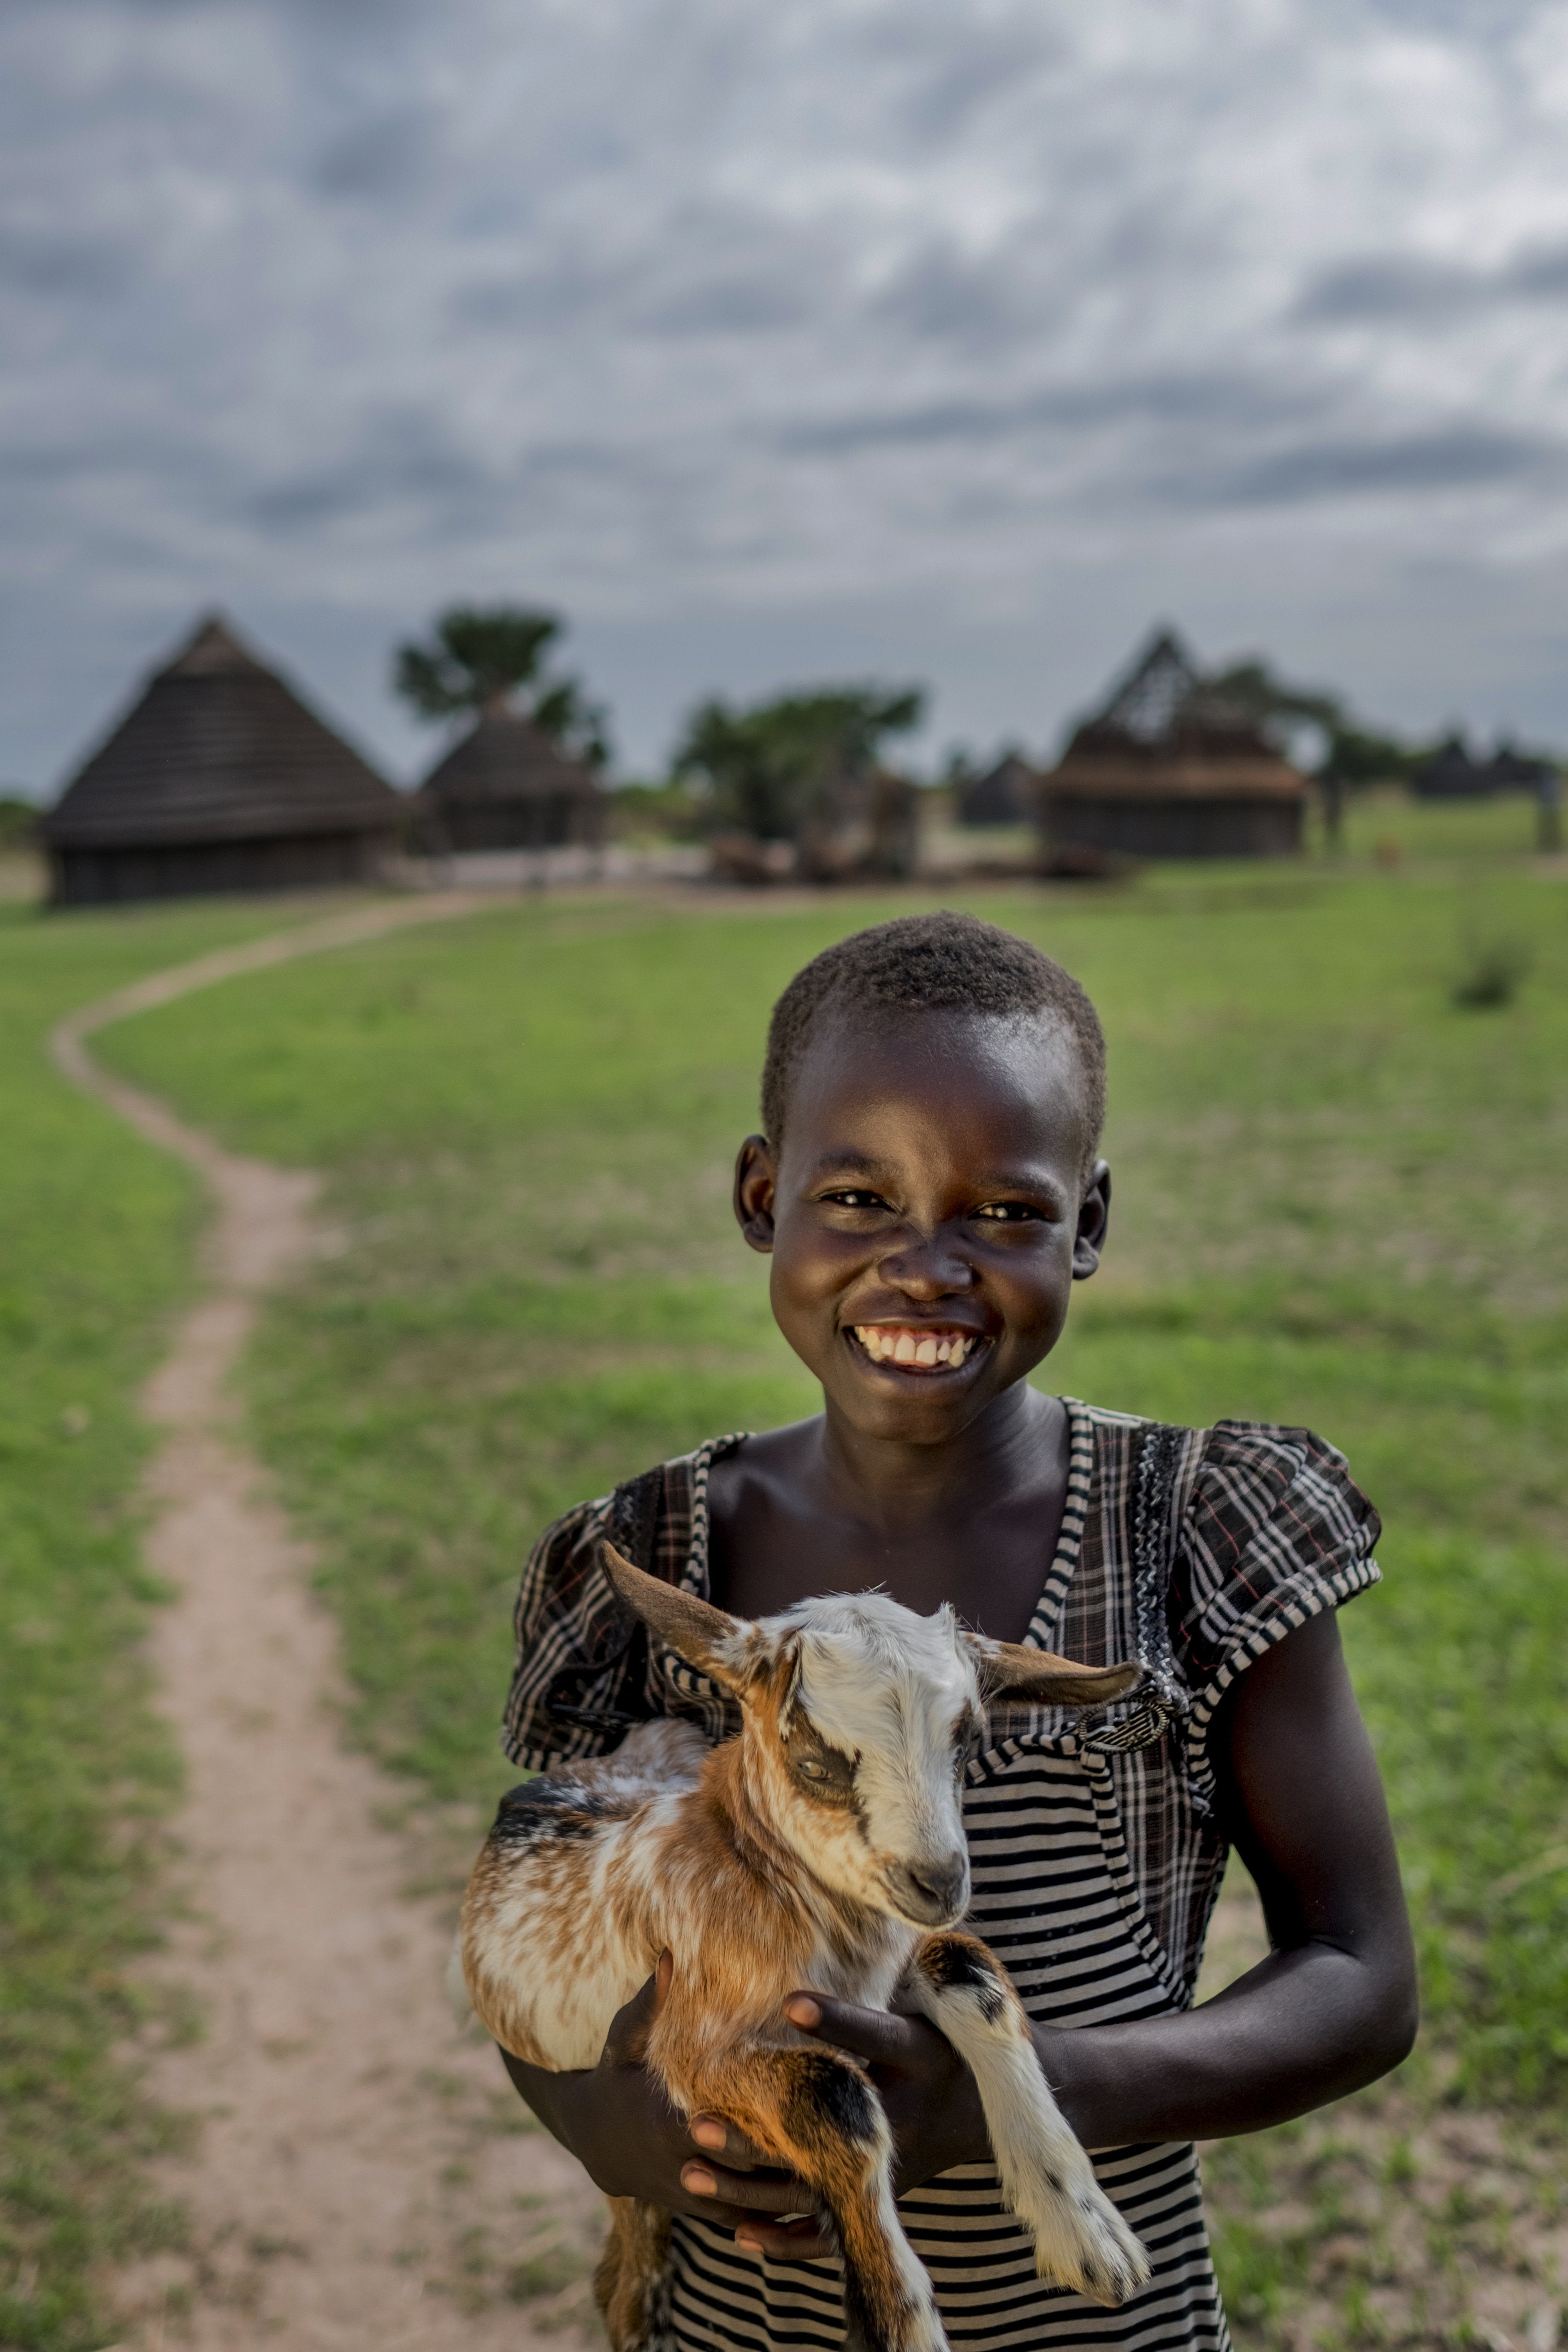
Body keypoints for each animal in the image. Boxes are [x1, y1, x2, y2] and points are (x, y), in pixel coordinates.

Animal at [458, 1544, 1152, 2352]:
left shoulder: (886, 1966)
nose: (939, 1880)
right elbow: (835, 2095)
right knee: (625, 2281)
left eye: (968, 1740)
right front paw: (905, 2325)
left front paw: (1088, 2235)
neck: (760, 1878)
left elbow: (972, 1971)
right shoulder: (687, 2048)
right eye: (815, 1761)